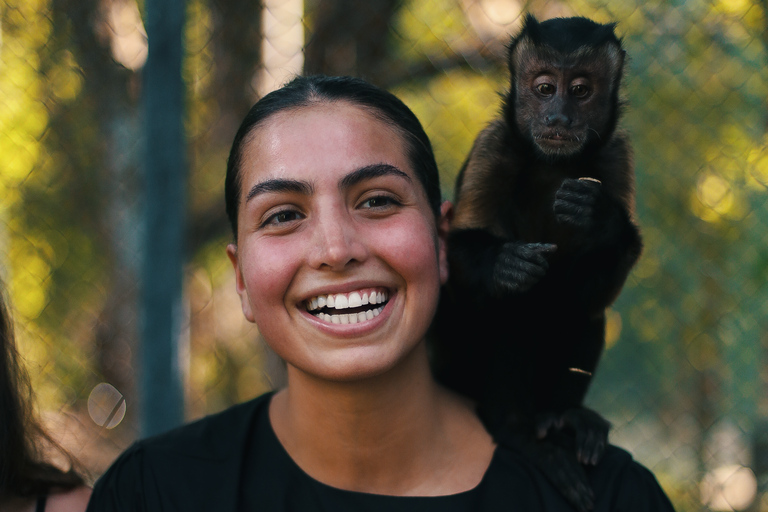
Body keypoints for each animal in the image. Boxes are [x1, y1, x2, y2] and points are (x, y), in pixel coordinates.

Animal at [431, 15, 642, 511]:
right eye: (545, 89)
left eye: (580, 90)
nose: (558, 117)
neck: (553, 164)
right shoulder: (493, 148)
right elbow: (458, 262)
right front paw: (504, 265)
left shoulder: (616, 156)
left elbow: (594, 290)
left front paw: (600, 218)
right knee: (516, 308)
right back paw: (518, 431)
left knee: (580, 307)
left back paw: (562, 417)